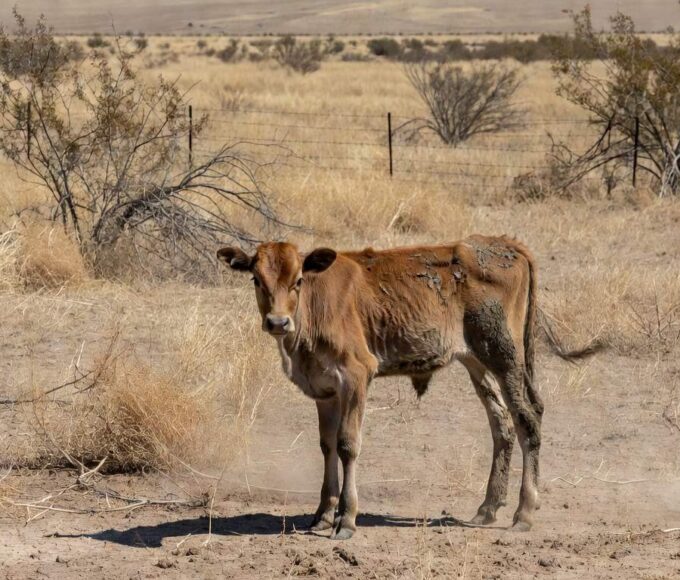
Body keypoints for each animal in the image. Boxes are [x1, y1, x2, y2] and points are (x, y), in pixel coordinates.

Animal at [217, 235, 543, 540]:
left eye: (298, 280)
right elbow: (327, 445)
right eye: (256, 279)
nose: (278, 322)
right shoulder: (325, 390)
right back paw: (488, 507)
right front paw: (323, 515)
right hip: (477, 361)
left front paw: (346, 519)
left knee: (527, 420)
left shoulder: (356, 376)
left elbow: (347, 444)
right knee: (502, 424)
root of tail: (504, 244)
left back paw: (525, 513)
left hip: (504, 354)